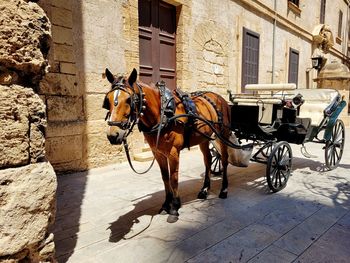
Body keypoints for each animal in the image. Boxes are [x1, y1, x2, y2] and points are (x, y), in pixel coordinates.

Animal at [102, 69, 231, 218]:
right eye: (108, 100)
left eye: (129, 100)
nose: (113, 135)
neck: (163, 114)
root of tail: (220, 98)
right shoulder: (157, 152)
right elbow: (165, 177)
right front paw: (166, 204)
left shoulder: (173, 152)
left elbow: (174, 178)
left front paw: (175, 206)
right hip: (204, 138)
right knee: (208, 160)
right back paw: (204, 189)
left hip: (223, 135)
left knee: (224, 159)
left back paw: (224, 189)